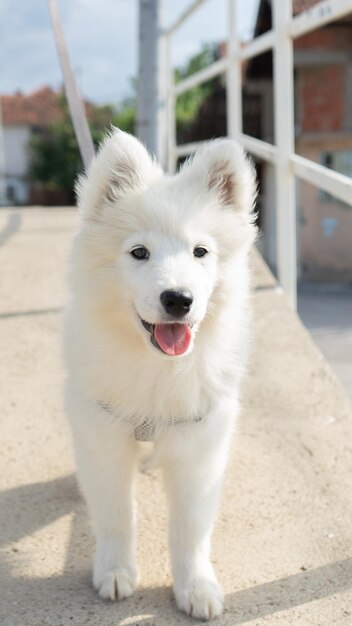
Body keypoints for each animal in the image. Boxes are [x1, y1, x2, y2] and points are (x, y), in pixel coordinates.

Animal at [64, 129, 256, 616]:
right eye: (139, 252)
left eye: (201, 251)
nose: (178, 299)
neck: (157, 368)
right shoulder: (105, 435)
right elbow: (115, 514)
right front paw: (115, 573)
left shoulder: (199, 445)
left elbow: (190, 528)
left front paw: (196, 588)